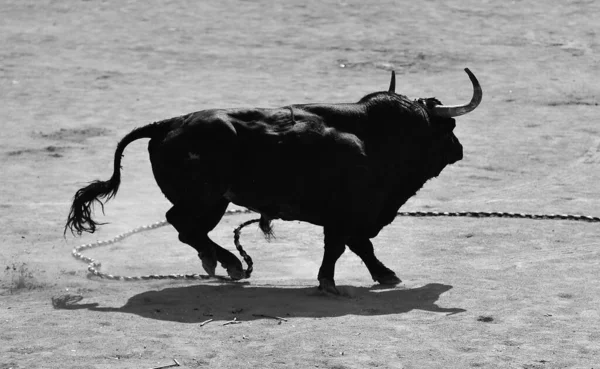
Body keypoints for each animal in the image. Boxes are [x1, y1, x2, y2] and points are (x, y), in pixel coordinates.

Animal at [64, 68, 482, 294]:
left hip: (212, 201)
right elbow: (351, 246)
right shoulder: (350, 213)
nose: (460, 149)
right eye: (448, 129)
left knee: (187, 229)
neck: (377, 137)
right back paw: (230, 263)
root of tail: (168, 124)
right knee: (183, 224)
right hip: (207, 198)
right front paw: (357, 279)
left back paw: (220, 262)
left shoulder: (345, 216)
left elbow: (349, 246)